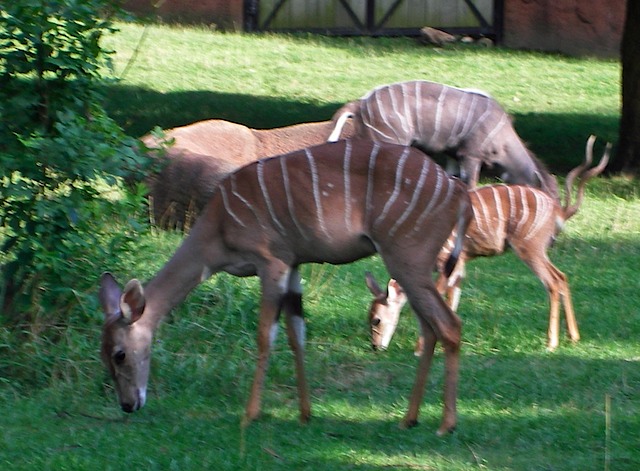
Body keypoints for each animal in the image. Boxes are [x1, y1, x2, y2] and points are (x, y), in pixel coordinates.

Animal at [97, 138, 472, 436]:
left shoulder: (271, 261)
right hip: (411, 265)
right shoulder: (294, 264)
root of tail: (457, 191)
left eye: (120, 354)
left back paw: (446, 424)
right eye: (103, 354)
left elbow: (266, 334)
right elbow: (297, 334)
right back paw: (409, 419)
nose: (128, 405)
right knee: (431, 327)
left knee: (449, 325)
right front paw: (305, 414)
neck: (217, 232)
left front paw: (249, 415)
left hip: (406, 257)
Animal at [364, 136, 608, 354]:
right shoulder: (460, 266)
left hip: (529, 248)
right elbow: (452, 301)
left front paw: (419, 348)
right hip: (537, 250)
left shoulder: (447, 261)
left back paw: (551, 343)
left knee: (553, 282)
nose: (375, 347)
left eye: (376, 319)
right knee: (562, 277)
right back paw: (573, 337)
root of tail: (558, 210)